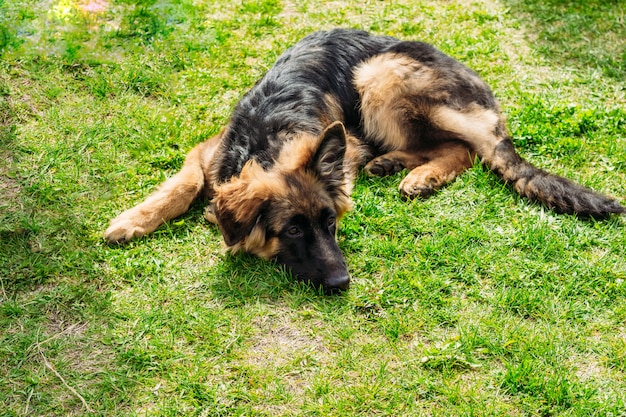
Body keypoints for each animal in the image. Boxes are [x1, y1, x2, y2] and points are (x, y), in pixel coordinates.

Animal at [105, 29, 620, 292]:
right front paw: (133, 219)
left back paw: (417, 174)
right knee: (457, 148)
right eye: (292, 231)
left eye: (331, 223)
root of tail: (486, 97)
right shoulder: (209, 152)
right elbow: (184, 184)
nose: (343, 281)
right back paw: (397, 166)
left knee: (466, 150)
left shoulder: (344, 144)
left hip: (379, 74)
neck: (267, 139)